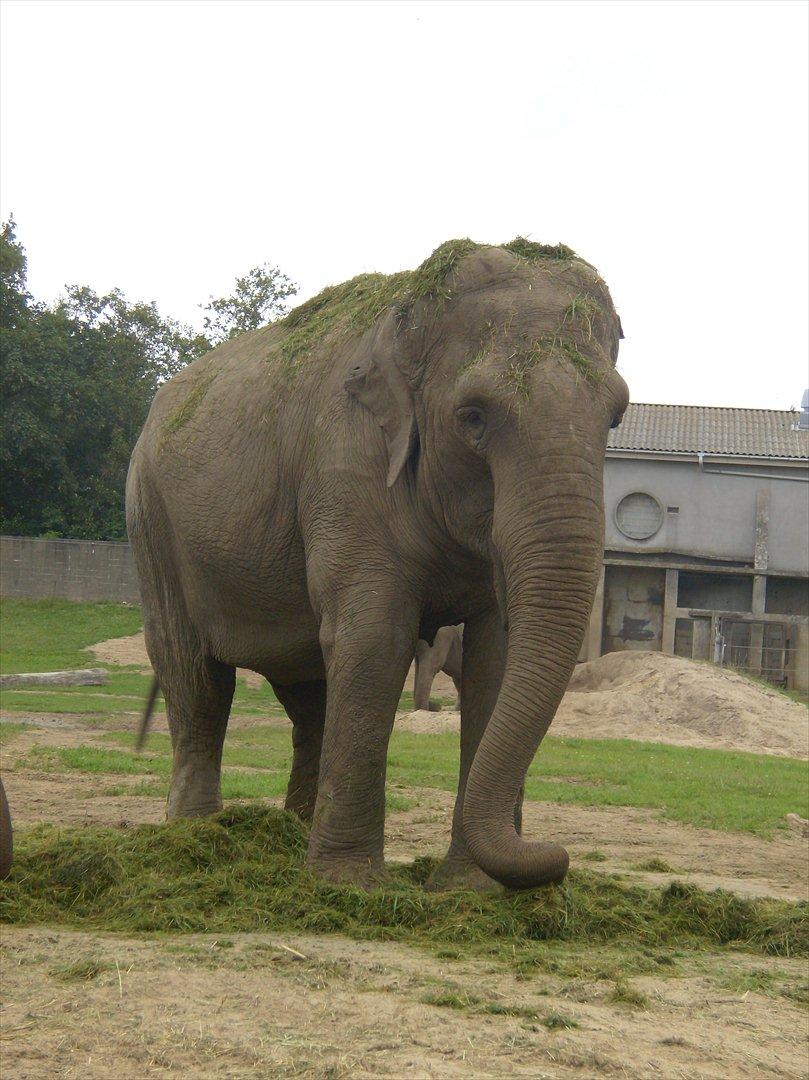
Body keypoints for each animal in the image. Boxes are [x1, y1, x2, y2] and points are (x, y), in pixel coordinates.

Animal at [126, 237, 628, 891]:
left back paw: (292, 841)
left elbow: (496, 655)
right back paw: (196, 838)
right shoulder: (345, 469)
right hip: (151, 523)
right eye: (472, 416)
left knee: (306, 691)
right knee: (195, 678)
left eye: (615, 416)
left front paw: (469, 890)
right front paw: (351, 885)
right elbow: (374, 640)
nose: (557, 854)